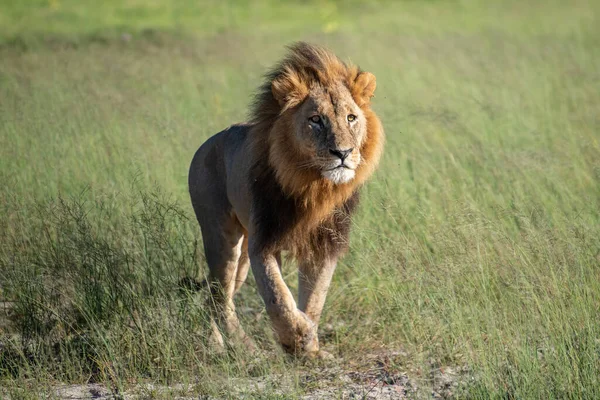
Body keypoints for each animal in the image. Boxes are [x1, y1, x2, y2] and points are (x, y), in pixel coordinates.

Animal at [189, 42, 384, 358]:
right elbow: (277, 296)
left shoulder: (324, 245)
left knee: (214, 296)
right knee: (220, 297)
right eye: (316, 120)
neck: (314, 185)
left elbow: (315, 299)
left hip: (242, 257)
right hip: (222, 239)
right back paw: (242, 348)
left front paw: (311, 345)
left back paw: (218, 345)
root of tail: (205, 145)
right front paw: (297, 335)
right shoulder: (263, 243)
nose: (342, 153)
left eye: (351, 118)